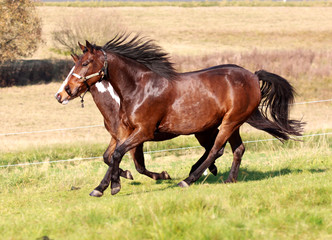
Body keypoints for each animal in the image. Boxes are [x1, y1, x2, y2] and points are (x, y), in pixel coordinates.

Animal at [54, 33, 304, 196]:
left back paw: (188, 180)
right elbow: (112, 157)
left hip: (229, 122)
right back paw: (229, 179)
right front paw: (101, 187)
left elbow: (119, 157)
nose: (63, 93)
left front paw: (116, 186)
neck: (137, 89)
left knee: (216, 149)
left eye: (86, 63)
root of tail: (252, 75)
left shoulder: (143, 132)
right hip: (229, 124)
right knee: (236, 149)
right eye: (75, 64)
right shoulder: (124, 132)